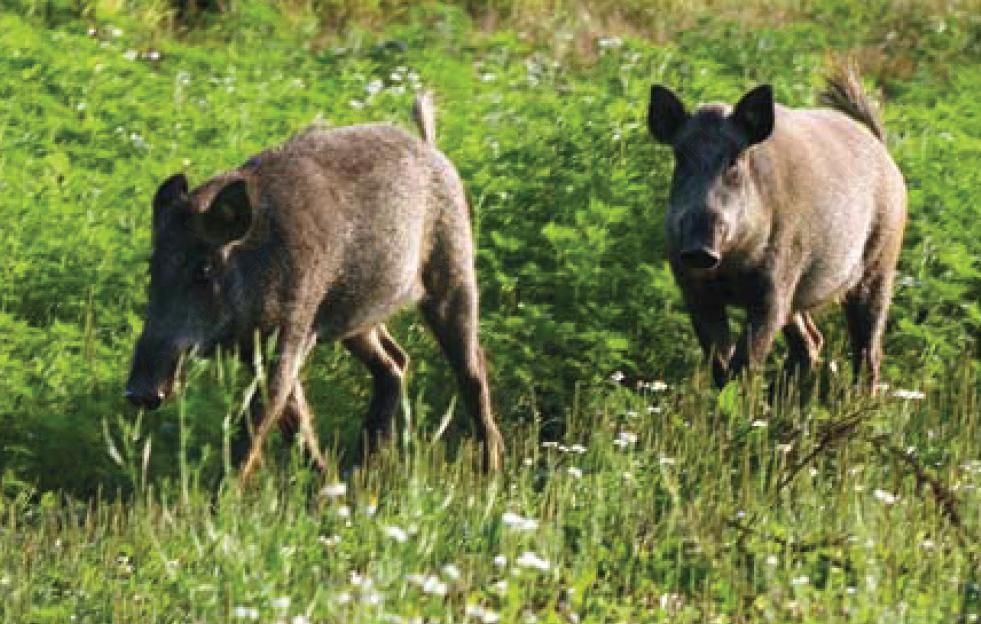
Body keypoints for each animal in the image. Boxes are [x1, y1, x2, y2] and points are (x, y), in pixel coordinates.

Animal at [125, 93, 505, 480]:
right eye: (152, 266)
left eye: (204, 267)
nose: (140, 392)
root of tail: (432, 147)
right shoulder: (257, 347)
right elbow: (292, 421)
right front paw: (326, 483)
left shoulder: (292, 331)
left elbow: (261, 420)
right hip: (358, 319)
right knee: (395, 362)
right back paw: (363, 468)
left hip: (453, 272)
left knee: (472, 369)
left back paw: (490, 470)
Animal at [647, 65, 906, 391]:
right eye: (680, 158)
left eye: (734, 162)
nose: (699, 249)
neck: (729, 268)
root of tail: (881, 147)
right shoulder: (695, 291)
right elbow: (719, 364)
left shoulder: (773, 288)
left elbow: (744, 364)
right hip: (800, 299)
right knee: (811, 342)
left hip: (881, 263)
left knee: (868, 351)